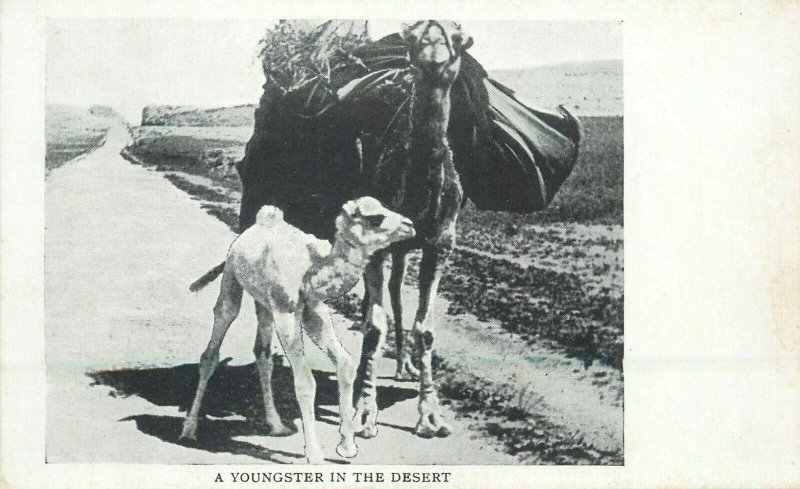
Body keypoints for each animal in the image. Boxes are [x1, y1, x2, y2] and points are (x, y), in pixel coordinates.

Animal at [179, 195, 416, 462]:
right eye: (376, 218)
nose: (410, 225)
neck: (310, 272)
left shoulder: (314, 308)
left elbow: (345, 363)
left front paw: (347, 446)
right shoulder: (287, 311)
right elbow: (305, 382)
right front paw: (315, 455)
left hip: (265, 303)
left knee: (263, 354)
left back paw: (276, 425)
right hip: (232, 277)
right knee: (216, 339)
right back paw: (189, 430)